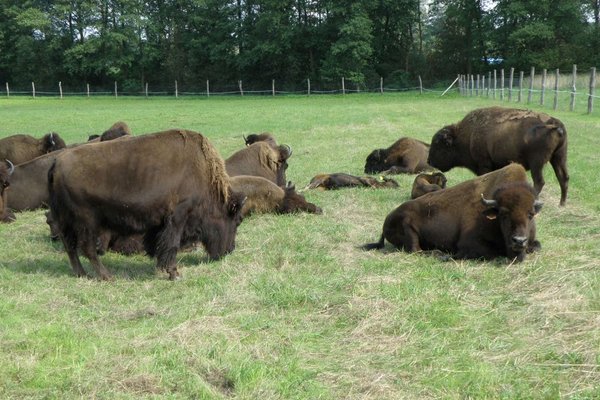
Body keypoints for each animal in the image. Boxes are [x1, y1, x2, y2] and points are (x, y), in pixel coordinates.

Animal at [48, 130, 246, 280]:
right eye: (237, 221)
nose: (230, 250)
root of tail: (57, 162)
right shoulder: (178, 216)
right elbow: (172, 244)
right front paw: (174, 273)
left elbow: (159, 244)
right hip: (87, 221)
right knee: (87, 248)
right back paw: (106, 276)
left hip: (67, 221)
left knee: (70, 245)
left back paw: (81, 274)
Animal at [366, 162, 544, 262]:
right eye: (503, 214)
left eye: (530, 214)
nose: (519, 241)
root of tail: (387, 219)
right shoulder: (469, 242)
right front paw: (448, 256)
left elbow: (537, 246)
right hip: (408, 227)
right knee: (416, 250)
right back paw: (437, 253)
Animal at [426, 105, 568, 205]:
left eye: (438, 144)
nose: (429, 161)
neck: (467, 135)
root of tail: (554, 123)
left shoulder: (483, 165)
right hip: (559, 158)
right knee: (563, 178)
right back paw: (561, 204)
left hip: (537, 163)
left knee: (539, 181)